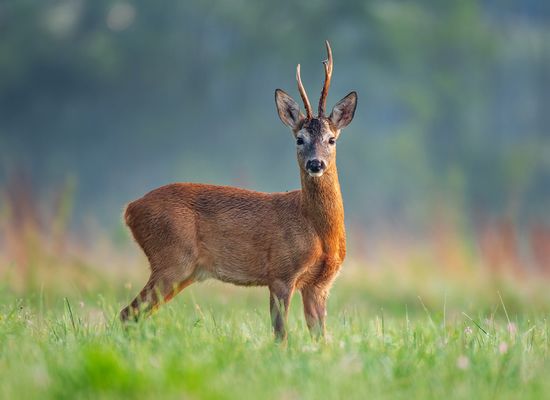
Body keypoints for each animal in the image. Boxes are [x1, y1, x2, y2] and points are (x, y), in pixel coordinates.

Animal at [121, 41, 360, 340]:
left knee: (135, 314)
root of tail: (130, 209)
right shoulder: (280, 272)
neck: (318, 230)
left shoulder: (319, 284)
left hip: (183, 271)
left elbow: (321, 338)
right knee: (128, 312)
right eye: (299, 139)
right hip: (172, 258)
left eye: (331, 139)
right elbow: (280, 334)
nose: (315, 163)